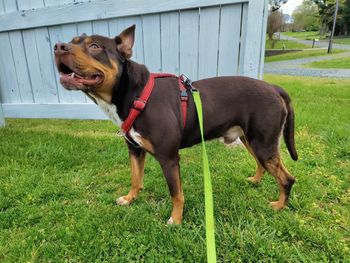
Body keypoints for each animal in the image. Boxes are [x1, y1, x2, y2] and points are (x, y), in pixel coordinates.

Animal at [54, 24, 298, 225]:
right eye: (73, 40)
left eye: (94, 46)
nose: (58, 47)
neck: (135, 94)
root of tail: (273, 87)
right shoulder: (135, 150)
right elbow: (135, 178)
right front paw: (130, 198)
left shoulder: (169, 158)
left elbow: (176, 193)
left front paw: (176, 220)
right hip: (251, 140)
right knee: (263, 165)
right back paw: (255, 181)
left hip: (263, 144)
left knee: (287, 178)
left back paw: (279, 206)